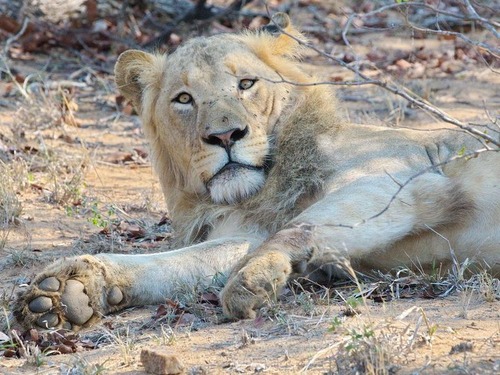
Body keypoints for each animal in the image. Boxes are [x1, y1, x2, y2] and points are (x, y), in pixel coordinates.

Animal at [13, 11, 498, 330]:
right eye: (184, 99)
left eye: (246, 84)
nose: (226, 135)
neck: (262, 187)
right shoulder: (248, 229)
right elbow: (177, 264)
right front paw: (70, 291)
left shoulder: (404, 176)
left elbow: (297, 229)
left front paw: (253, 279)